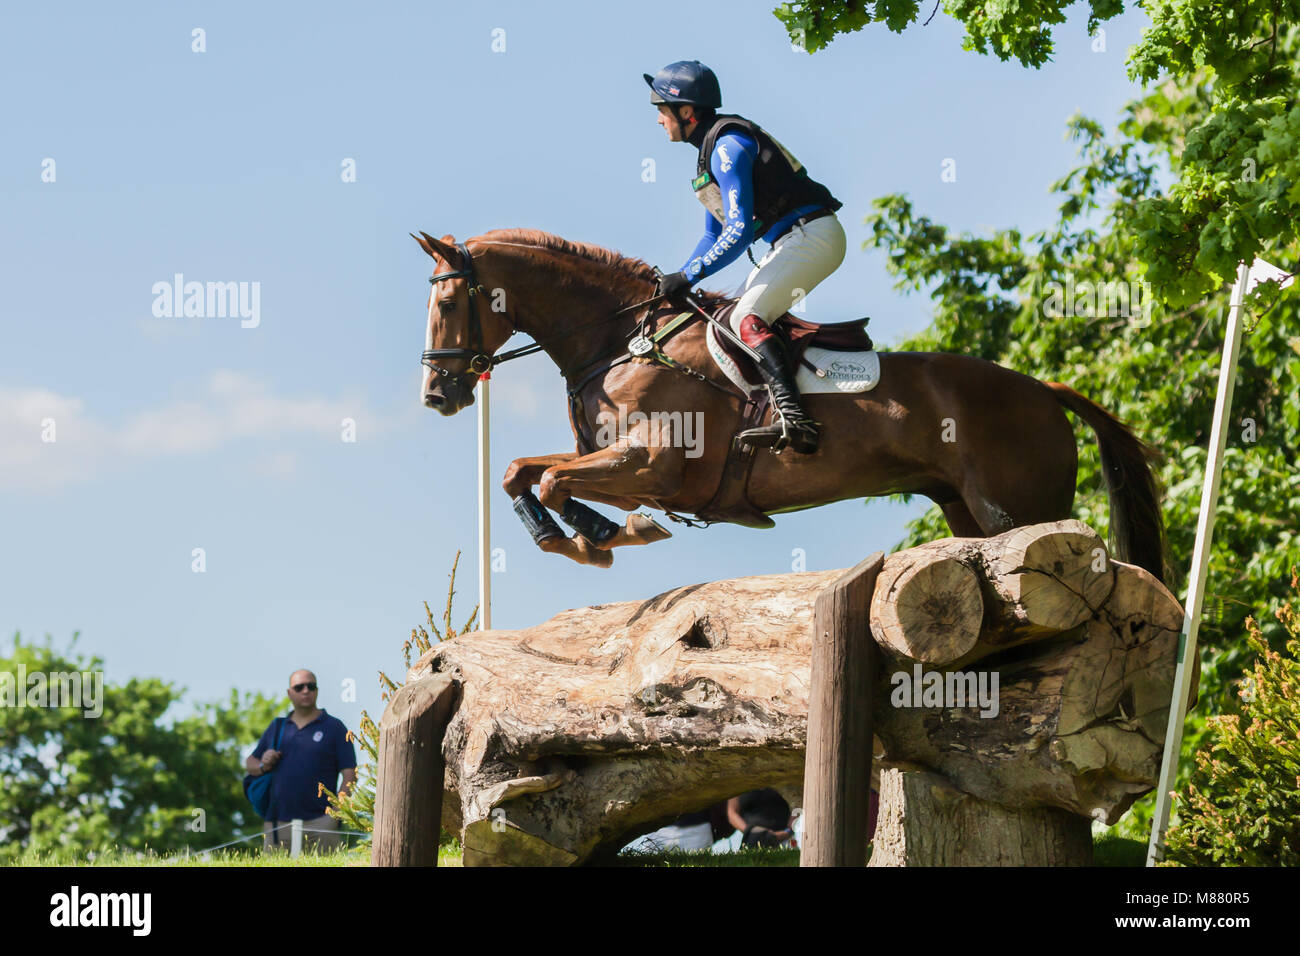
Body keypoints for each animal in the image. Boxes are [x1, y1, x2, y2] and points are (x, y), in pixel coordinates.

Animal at [414, 228, 1166, 581]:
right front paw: (581, 538)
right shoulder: (622, 464)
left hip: (1017, 508)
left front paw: (605, 537)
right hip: (967, 512)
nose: (437, 396)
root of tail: (1043, 390)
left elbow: (550, 478)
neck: (620, 339)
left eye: (448, 302)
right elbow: (522, 471)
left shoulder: (652, 466)